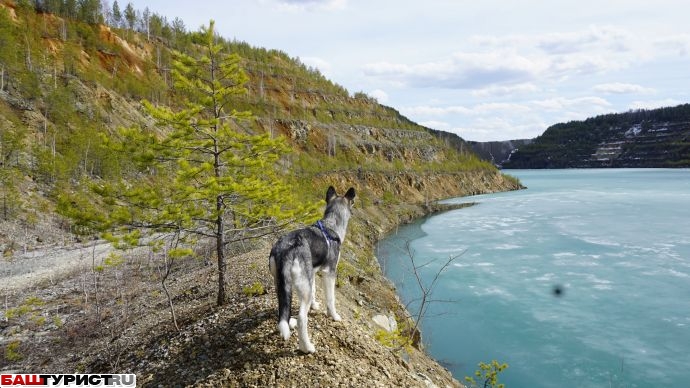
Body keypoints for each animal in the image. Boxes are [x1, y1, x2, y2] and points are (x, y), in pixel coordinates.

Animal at [268, 186, 354, 354]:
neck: (331, 225)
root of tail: (286, 250)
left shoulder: (312, 273)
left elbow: (314, 289)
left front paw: (314, 305)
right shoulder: (329, 273)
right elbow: (331, 299)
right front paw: (334, 316)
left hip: (281, 283)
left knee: (283, 307)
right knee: (302, 318)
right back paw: (306, 347)